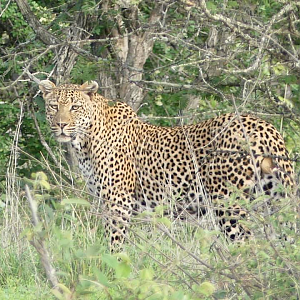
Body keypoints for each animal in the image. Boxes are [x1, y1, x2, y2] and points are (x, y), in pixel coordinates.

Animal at [39, 79, 296, 248]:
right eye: (53, 106)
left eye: (74, 107)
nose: (61, 125)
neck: (85, 141)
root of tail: (267, 128)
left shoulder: (118, 201)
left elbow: (115, 242)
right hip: (277, 200)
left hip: (229, 206)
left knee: (249, 246)